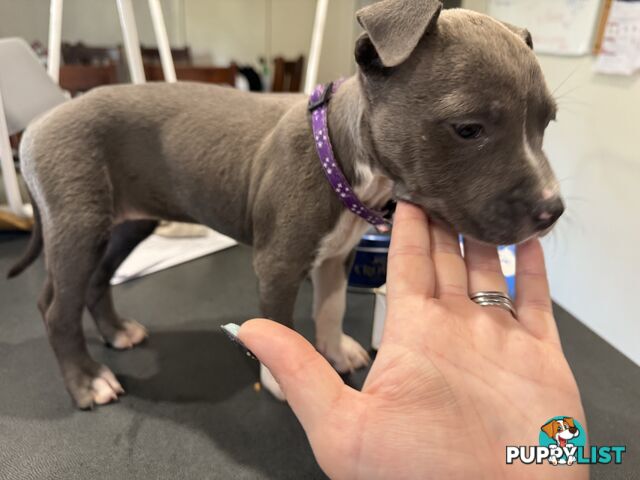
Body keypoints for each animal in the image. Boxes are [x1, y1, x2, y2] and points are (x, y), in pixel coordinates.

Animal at [8, 0, 560, 408]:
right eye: (468, 129)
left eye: (547, 122)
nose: (552, 210)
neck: (341, 156)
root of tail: (37, 124)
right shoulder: (277, 264)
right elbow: (278, 326)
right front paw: (282, 378)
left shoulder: (336, 255)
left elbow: (332, 306)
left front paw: (334, 348)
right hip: (80, 224)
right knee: (57, 308)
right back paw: (87, 381)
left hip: (129, 221)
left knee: (94, 281)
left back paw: (117, 331)